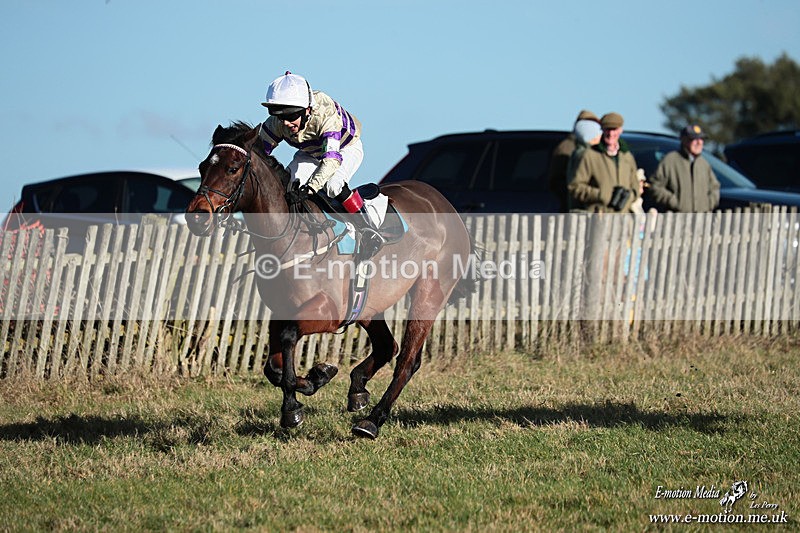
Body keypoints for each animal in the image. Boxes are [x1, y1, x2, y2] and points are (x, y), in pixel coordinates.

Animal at [185, 121, 474, 438]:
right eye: (202, 167)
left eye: (233, 168)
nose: (197, 217)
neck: (292, 235)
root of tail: (442, 201)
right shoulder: (282, 311)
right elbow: (273, 367)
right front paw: (317, 376)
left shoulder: (327, 312)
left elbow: (288, 339)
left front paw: (292, 407)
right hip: (367, 305)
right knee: (387, 346)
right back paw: (358, 388)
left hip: (429, 292)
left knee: (407, 360)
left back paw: (372, 421)